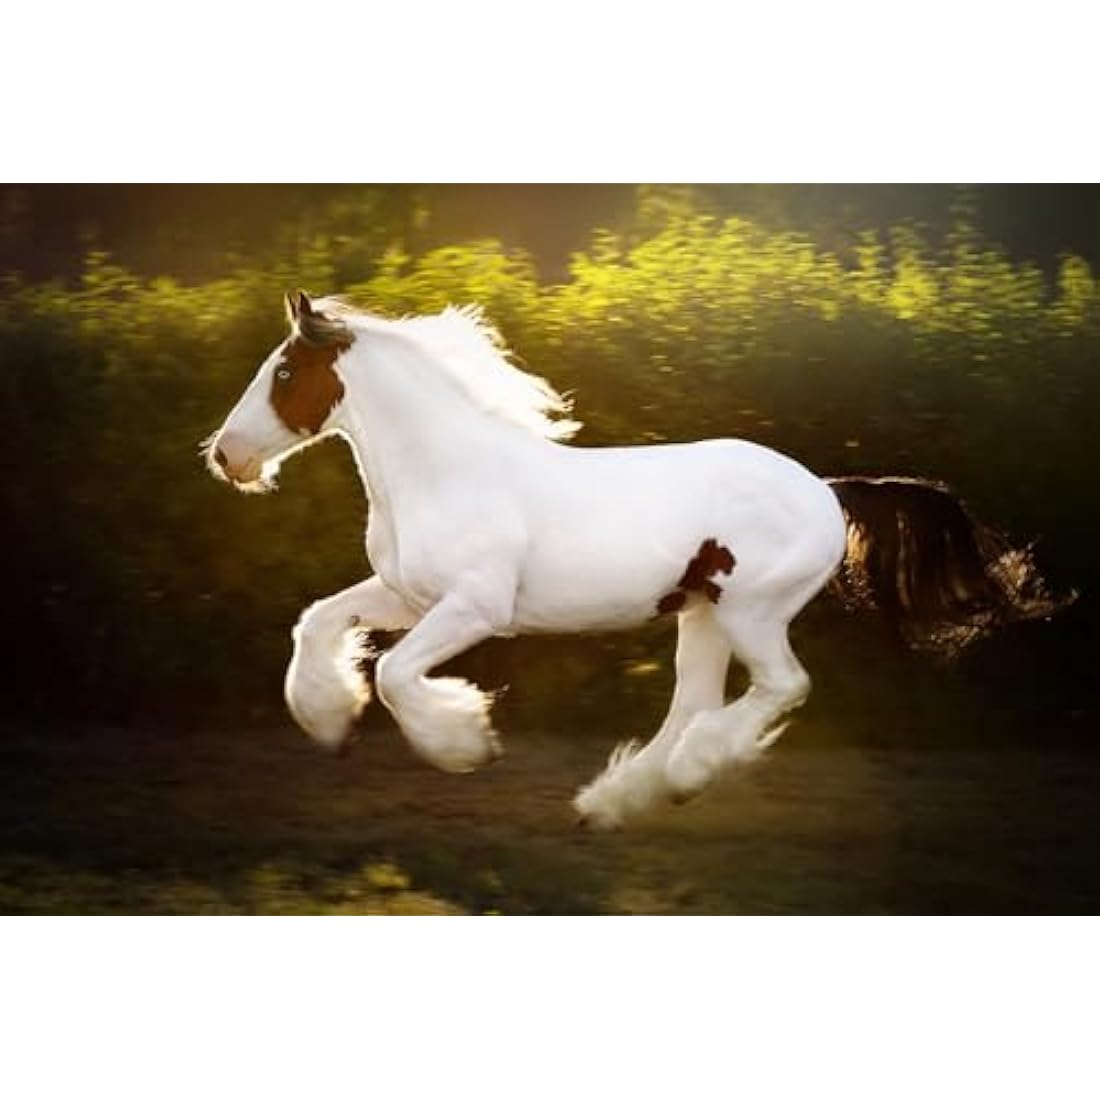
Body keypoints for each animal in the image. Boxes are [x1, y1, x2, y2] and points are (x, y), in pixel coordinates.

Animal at [205, 290, 1069, 829]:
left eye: (284, 372)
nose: (224, 456)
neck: (445, 469)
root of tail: (827, 490)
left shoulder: (473, 609)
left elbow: (391, 673)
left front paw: (466, 744)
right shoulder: (407, 595)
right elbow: (319, 622)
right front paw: (329, 722)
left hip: (752, 611)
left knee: (780, 688)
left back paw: (684, 778)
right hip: (703, 614)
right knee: (690, 704)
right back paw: (613, 804)